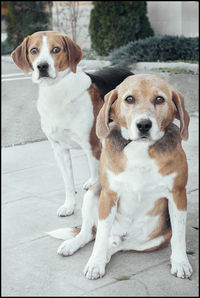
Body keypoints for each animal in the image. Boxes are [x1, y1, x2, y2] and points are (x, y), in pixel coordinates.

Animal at [10, 30, 133, 217]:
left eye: (55, 49)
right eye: (33, 51)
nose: (42, 66)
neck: (56, 91)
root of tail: (130, 72)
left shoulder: (92, 146)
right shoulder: (59, 149)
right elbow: (68, 182)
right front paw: (69, 206)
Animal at [48, 74, 192, 280]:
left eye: (159, 99)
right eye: (129, 99)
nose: (143, 125)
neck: (140, 148)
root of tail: (121, 234)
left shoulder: (178, 195)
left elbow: (179, 236)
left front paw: (181, 262)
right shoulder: (109, 195)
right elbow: (100, 237)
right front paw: (95, 263)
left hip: (157, 239)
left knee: (118, 245)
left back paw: (108, 253)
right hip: (93, 193)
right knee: (90, 233)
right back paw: (76, 245)